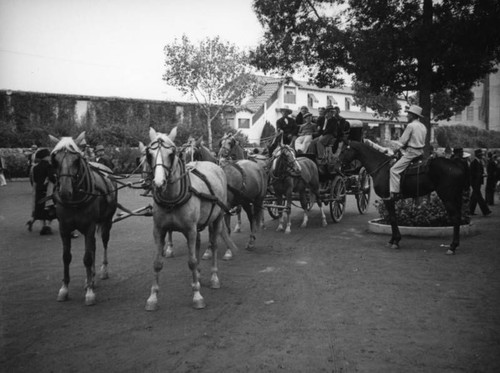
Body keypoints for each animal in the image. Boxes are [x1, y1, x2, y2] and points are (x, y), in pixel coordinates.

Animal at [49, 132, 118, 304]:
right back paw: (90, 278)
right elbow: (66, 257)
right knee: (93, 247)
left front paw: (90, 293)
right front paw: (64, 289)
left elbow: (87, 257)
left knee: (104, 242)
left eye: (76, 160)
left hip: (106, 221)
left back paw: (102, 270)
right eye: (55, 160)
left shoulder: (89, 226)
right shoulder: (64, 228)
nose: (65, 191)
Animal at [143, 126, 232, 310]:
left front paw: (197, 295)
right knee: (198, 244)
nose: (158, 183)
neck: (172, 199)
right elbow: (157, 263)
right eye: (149, 154)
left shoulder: (190, 230)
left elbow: (191, 261)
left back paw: (214, 277)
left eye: (172, 154)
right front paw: (153, 297)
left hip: (217, 218)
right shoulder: (159, 231)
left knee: (213, 244)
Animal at [340, 141, 468, 254]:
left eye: (344, 149)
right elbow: (393, 218)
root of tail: (456, 165)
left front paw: (395, 241)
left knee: (455, 218)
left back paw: (452, 246)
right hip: (456, 197)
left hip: (447, 197)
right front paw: (393, 240)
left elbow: (392, 218)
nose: (339, 164)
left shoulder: (388, 199)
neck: (381, 167)